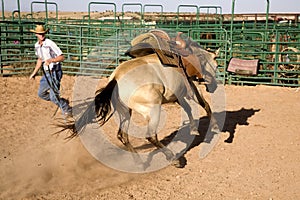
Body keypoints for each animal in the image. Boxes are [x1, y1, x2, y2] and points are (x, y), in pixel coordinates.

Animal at [60, 29, 220, 167]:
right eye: (217, 65)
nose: (213, 87)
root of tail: (116, 78)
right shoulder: (189, 87)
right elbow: (204, 104)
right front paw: (215, 126)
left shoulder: (178, 94)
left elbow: (188, 108)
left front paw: (194, 128)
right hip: (153, 109)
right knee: (150, 136)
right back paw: (174, 159)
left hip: (125, 112)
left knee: (123, 135)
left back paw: (139, 162)